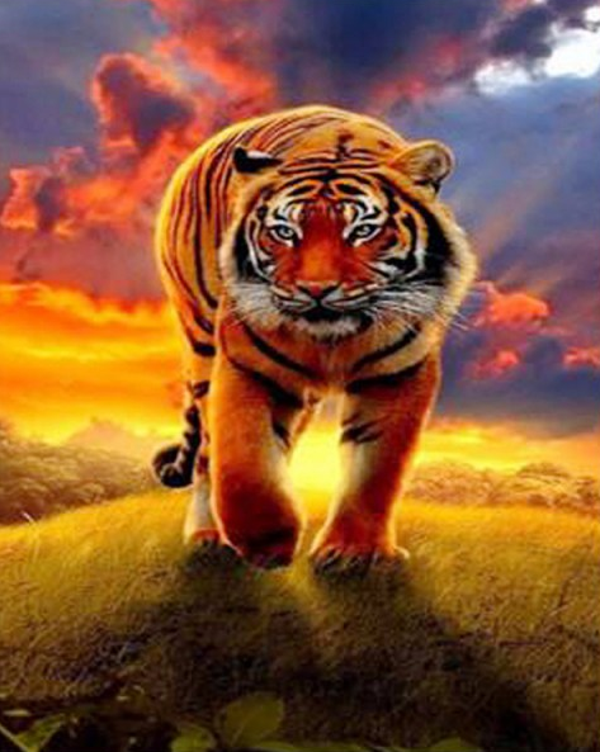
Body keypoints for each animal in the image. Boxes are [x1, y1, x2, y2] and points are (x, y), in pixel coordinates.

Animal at [152, 104, 476, 571]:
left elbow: (376, 469)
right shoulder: (249, 365)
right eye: (285, 232)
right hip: (200, 341)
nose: (316, 289)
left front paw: (353, 552)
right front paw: (265, 541)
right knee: (207, 453)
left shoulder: (397, 374)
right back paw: (207, 535)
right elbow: (244, 459)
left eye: (362, 231)